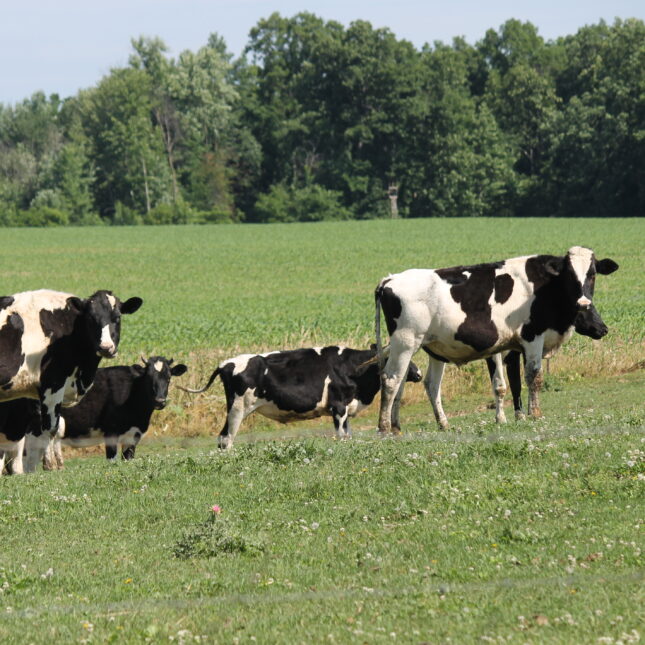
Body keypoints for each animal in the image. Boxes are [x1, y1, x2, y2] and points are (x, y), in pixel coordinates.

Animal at [0, 290, 142, 470]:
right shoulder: (53, 384)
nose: (106, 348)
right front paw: (50, 465)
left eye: (117, 317)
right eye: (91, 318)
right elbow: (50, 428)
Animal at [43, 354, 186, 466]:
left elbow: (128, 458)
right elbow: (111, 459)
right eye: (149, 378)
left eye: (168, 378)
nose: (160, 401)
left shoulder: (133, 434)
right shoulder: (111, 431)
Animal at [181, 348, 422, 448]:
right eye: (402, 358)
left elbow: (347, 434)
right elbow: (341, 435)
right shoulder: (338, 407)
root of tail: (226, 363)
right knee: (226, 437)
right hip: (238, 407)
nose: (419, 373)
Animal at [374, 247, 616, 432]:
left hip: (426, 347)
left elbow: (513, 382)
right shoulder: (532, 337)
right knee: (391, 379)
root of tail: (391, 278)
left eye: (592, 274)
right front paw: (535, 414)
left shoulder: (511, 346)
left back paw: (426, 425)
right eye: (570, 275)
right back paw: (385, 427)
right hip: (405, 342)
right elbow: (534, 377)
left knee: (425, 384)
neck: (547, 288)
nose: (583, 302)